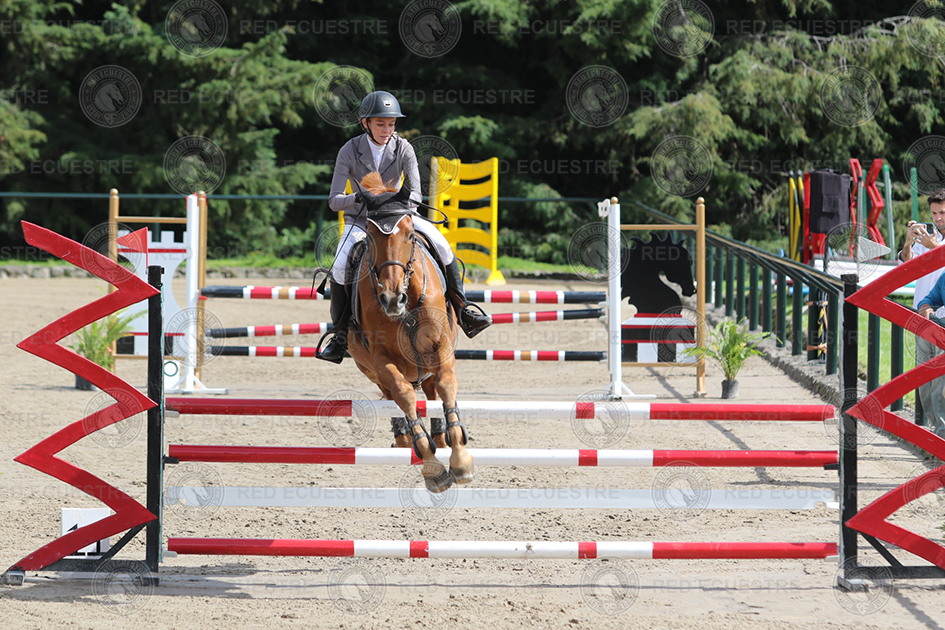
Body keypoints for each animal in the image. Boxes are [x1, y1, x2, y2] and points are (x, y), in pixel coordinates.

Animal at [345, 172, 474, 493]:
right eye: (370, 235)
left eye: (410, 235)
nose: (392, 298)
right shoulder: (381, 360)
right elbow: (402, 394)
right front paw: (433, 469)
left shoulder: (441, 346)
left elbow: (446, 385)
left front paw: (461, 460)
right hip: (371, 369)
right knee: (395, 395)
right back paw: (406, 437)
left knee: (432, 392)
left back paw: (441, 436)